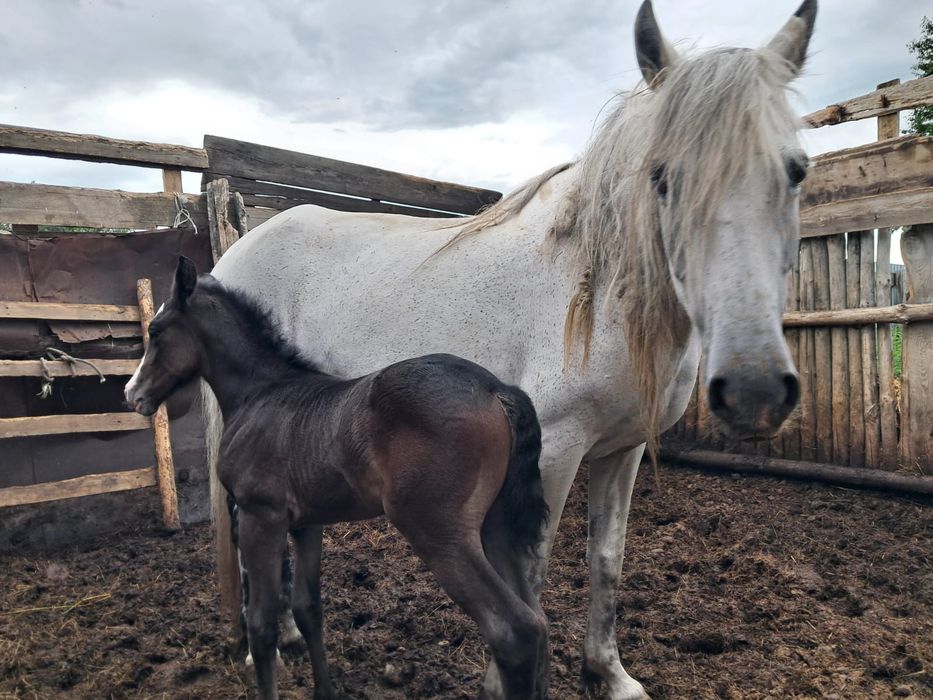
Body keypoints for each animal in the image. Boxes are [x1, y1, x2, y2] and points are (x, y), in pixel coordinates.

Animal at [125, 257, 551, 700]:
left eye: (156, 332)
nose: (131, 394)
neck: (258, 395)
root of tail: (495, 388)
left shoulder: (261, 517)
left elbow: (262, 625)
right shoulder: (307, 524)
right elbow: (308, 608)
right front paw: (324, 690)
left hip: (439, 533)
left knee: (513, 630)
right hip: (495, 529)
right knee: (539, 622)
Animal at [205, 1, 817, 697]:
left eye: (796, 170)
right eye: (661, 177)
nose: (755, 391)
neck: (593, 290)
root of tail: (237, 249)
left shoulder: (623, 450)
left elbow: (606, 560)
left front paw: (608, 674)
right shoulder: (553, 451)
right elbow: (531, 576)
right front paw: (504, 681)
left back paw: (281, 635)